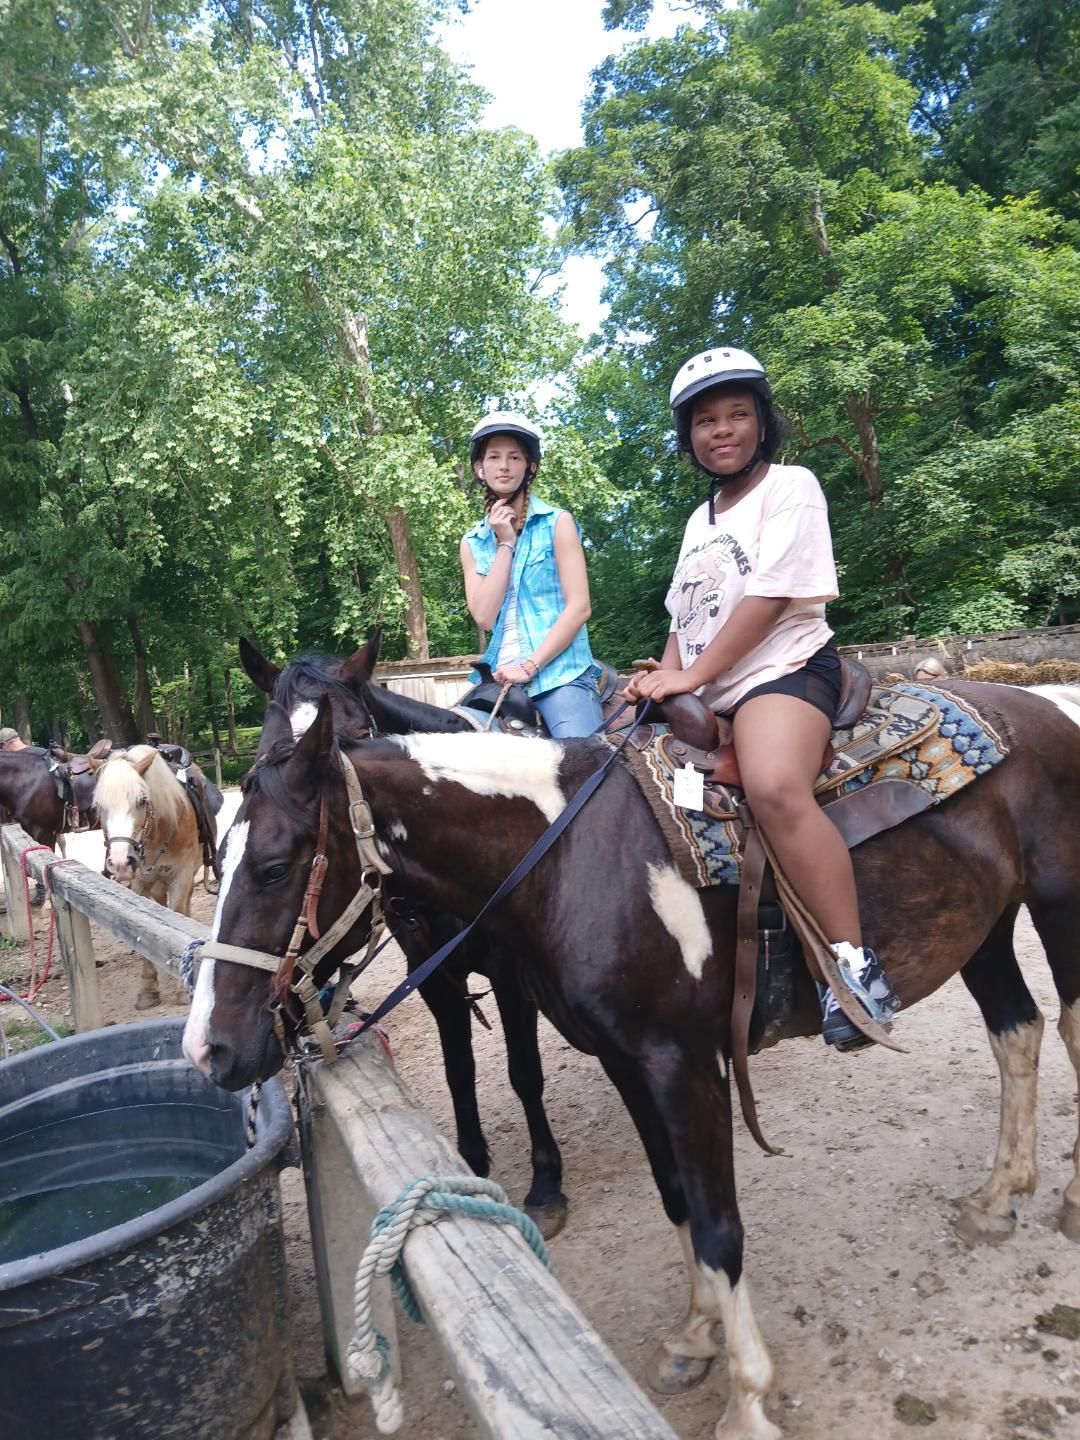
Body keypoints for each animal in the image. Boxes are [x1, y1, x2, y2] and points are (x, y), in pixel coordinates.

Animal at [93, 745, 204, 1010]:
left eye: (142, 801)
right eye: (100, 806)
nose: (121, 862)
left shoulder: (182, 875)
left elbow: (178, 914)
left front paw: (182, 990)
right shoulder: (139, 883)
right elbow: (142, 926)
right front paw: (147, 989)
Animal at [231, 636, 568, 1235]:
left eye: (354, 736)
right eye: (266, 751)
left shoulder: (510, 976)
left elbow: (524, 1071)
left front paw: (546, 1182)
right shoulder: (433, 977)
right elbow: (460, 1071)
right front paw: (471, 1161)